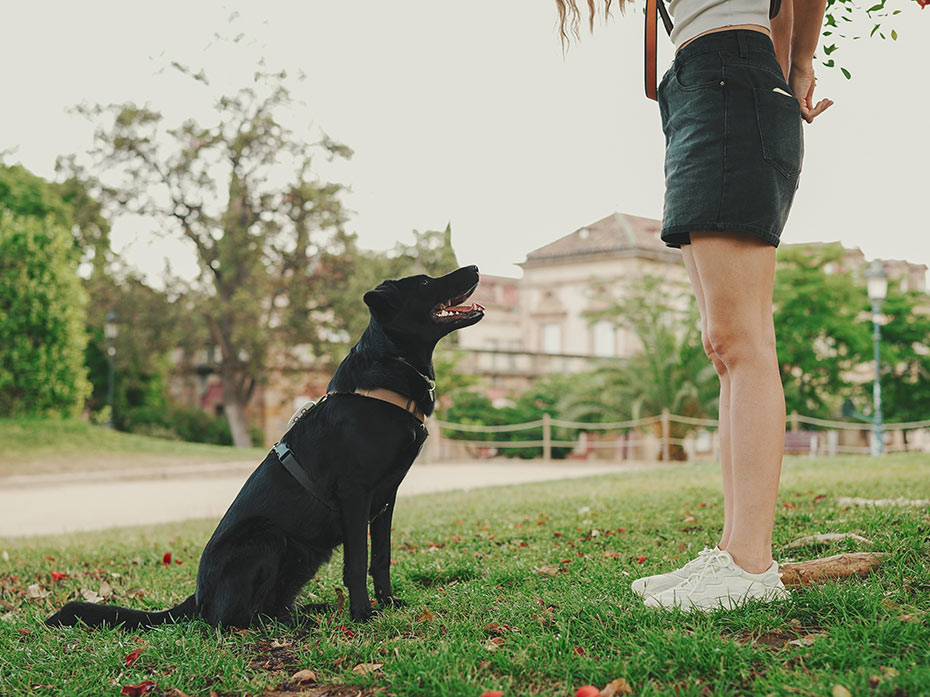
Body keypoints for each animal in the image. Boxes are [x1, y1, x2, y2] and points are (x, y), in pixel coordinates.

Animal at [48, 264, 486, 628]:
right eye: (425, 283)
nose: (476, 267)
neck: (387, 373)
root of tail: (198, 598)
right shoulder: (356, 493)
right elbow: (358, 561)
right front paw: (363, 614)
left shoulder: (386, 497)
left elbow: (380, 558)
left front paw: (387, 603)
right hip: (267, 538)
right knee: (230, 620)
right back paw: (297, 621)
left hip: (305, 556)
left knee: (270, 606)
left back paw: (309, 611)